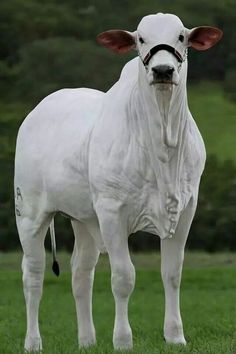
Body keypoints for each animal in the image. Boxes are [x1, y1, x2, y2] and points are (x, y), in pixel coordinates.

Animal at [15, 12, 223, 352]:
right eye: (140, 39)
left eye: (181, 37)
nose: (162, 70)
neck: (163, 140)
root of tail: (40, 107)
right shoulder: (112, 213)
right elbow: (123, 277)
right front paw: (123, 340)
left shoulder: (186, 209)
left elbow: (172, 273)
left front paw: (175, 336)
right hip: (30, 213)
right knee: (33, 273)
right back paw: (33, 342)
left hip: (83, 218)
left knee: (81, 272)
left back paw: (87, 340)